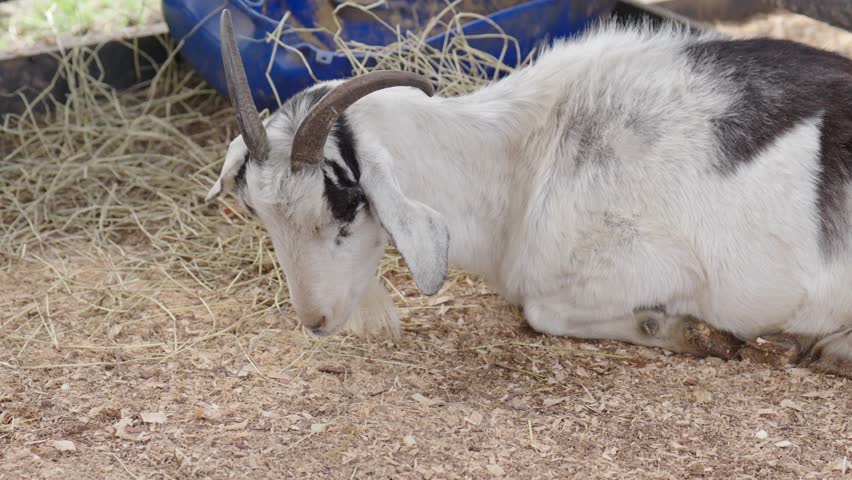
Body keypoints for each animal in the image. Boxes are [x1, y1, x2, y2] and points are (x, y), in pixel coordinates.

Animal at [207, 9, 852, 376]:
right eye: (260, 215)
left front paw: (685, 331)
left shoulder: (664, 267)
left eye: (344, 211)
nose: (314, 320)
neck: (524, 150)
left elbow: (540, 312)